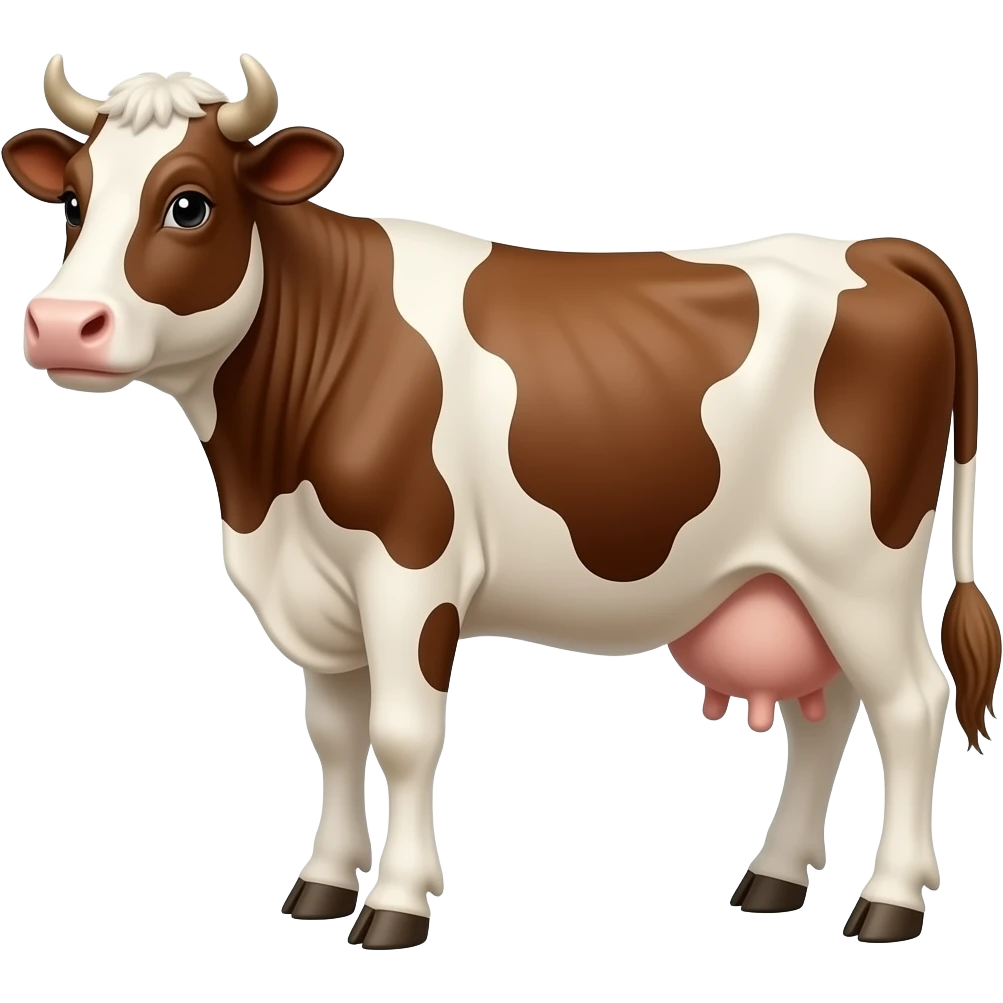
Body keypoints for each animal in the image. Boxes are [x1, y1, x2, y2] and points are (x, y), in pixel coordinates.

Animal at [3, 54, 999, 950]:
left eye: (189, 204)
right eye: (72, 202)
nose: (60, 325)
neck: (264, 481)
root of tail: (877, 247)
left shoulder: (408, 567)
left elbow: (402, 734)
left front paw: (395, 905)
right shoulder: (316, 589)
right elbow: (333, 734)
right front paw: (320, 884)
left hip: (860, 563)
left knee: (911, 704)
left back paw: (889, 901)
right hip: (792, 578)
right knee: (822, 714)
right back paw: (772, 879)